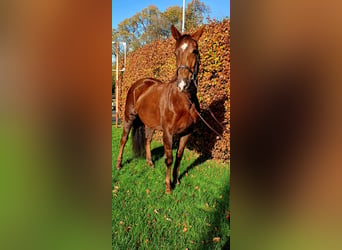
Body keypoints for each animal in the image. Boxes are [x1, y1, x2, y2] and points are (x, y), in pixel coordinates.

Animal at [116, 24, 204, 193]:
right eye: (175, 52)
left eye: (195, 51)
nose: (183, 84)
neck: (184, 101)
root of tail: (139, 84)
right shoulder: (168, 133)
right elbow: (169, 159)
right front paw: (168, 187)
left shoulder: (187, 133)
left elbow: (179, 157)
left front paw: (177, 181)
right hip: (128, 117)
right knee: (123, 139)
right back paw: (118, 164)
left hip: (150, 123)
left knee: (148, 139)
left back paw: (150, 162)